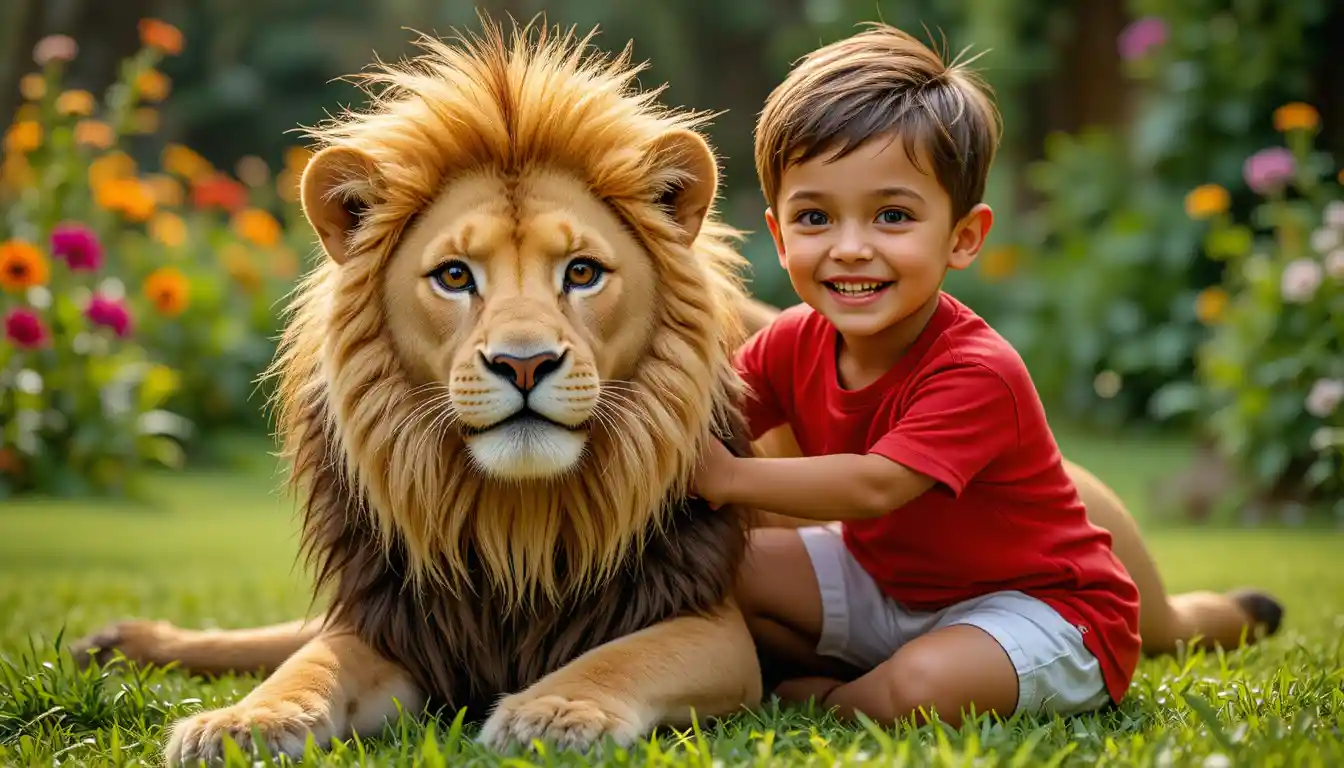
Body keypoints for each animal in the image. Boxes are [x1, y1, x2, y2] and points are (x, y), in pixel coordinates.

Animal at [69, 16, 1284, 763]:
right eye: (454, 277)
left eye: (582, 273)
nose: (523, 366)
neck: (514, 522)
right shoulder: (396, 617)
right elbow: (307, 666)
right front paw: (234, 724)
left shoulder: (703, 622)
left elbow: (624, 657)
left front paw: (555, 708)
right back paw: (131, 644)